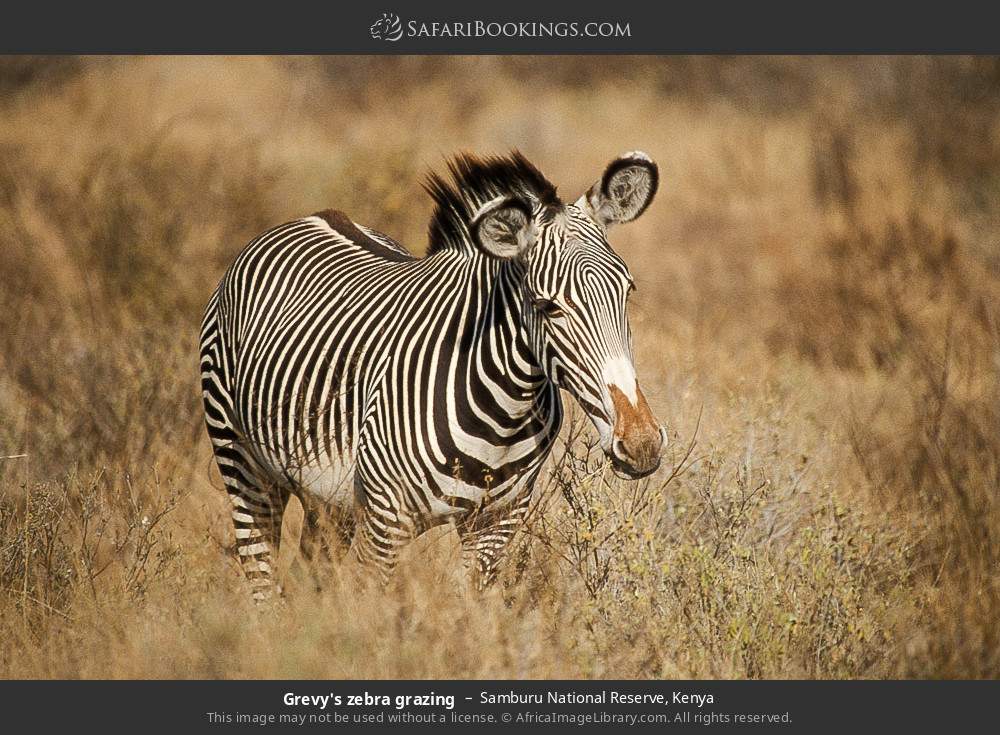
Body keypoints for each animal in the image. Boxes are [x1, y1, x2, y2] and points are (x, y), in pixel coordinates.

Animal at [197, 151, 664, 604]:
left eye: (628, 290)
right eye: (547, 307)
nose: (641, 443)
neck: (502, 414)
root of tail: (311, 216)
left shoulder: (495, 523)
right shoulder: (386, 523)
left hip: (327, 499)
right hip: (243, 464)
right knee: (261, 577)